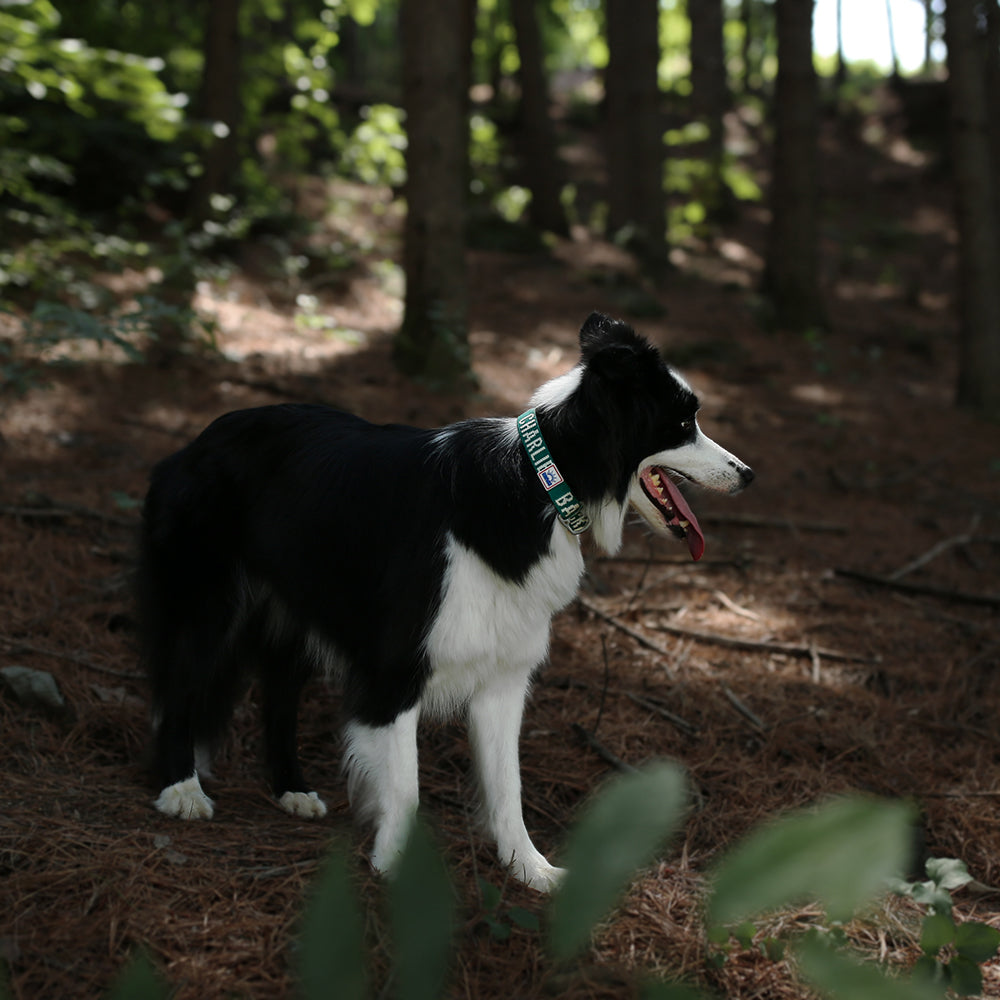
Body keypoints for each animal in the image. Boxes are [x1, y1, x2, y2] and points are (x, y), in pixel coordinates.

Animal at [139, 312, 752, 892]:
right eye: (683, 424)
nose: (747, 475)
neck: (542, 481)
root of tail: (194, 442)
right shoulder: (395, 671)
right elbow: (406, 787)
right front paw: (396, 871)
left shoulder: (503, 676)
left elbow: (508, 786)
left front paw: (529, 869)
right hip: (206, 602)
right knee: (179, 688)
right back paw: (180, 789)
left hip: (293, 613)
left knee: (277, 700)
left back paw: (291, 789)